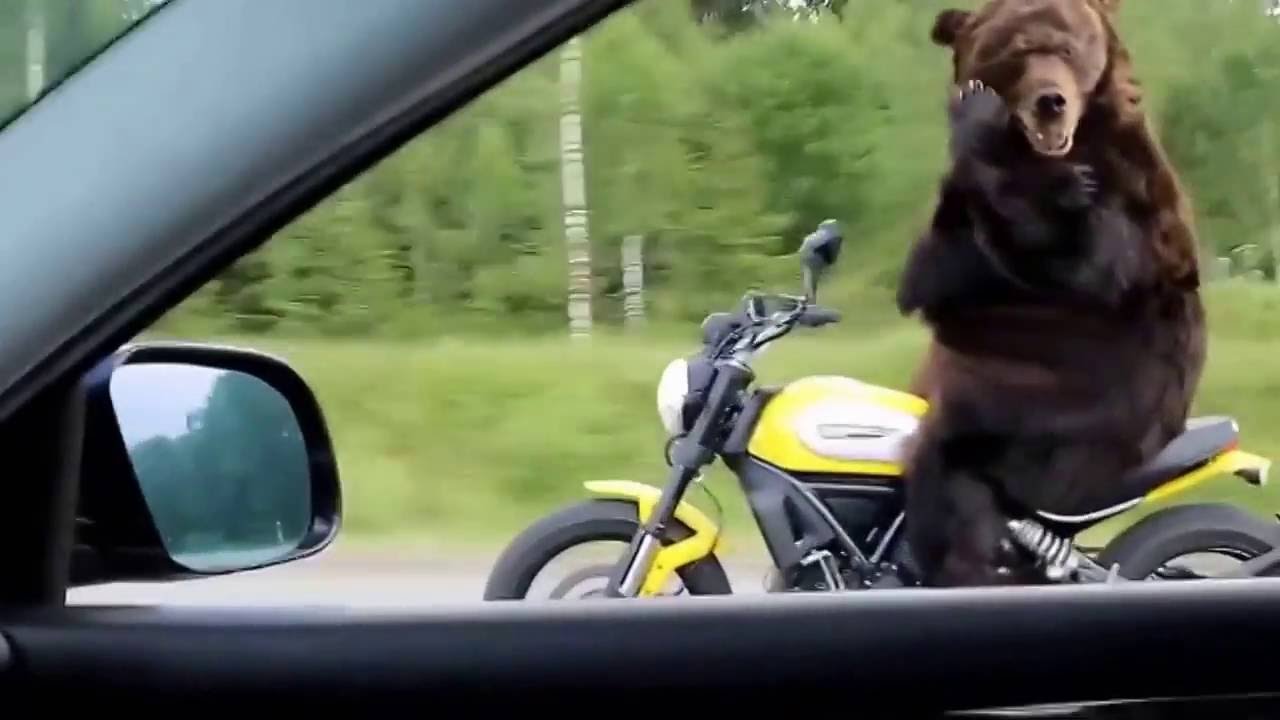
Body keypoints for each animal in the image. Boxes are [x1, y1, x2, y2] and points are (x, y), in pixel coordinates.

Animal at [893, 0, 1205, 587]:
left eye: (1067, 48)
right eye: (1016, 50)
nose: (1050, 102)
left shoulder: (1132, 194)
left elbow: (1073, 260)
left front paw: (985, 125)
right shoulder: (953, 226)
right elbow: (934, 273)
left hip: (1059, 413)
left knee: (951, 468)